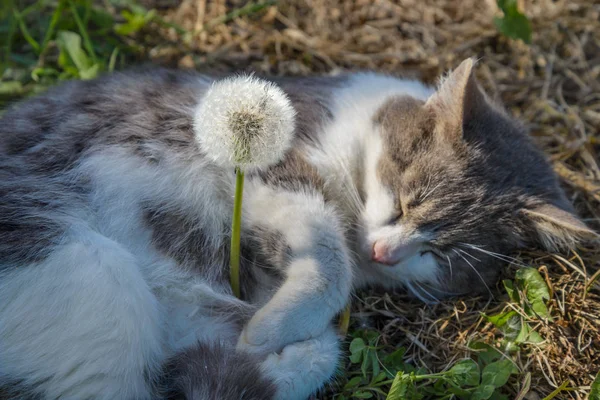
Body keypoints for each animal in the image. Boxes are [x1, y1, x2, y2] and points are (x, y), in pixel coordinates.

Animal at [0, 57, 592, 400]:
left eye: (444, 255)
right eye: (405, 200)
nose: (384, 252)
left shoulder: (197, 306)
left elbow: (319, 346)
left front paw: (261, 344)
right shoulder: (269, 169)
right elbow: (327, 260)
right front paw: (268, 333)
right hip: (87, 265)